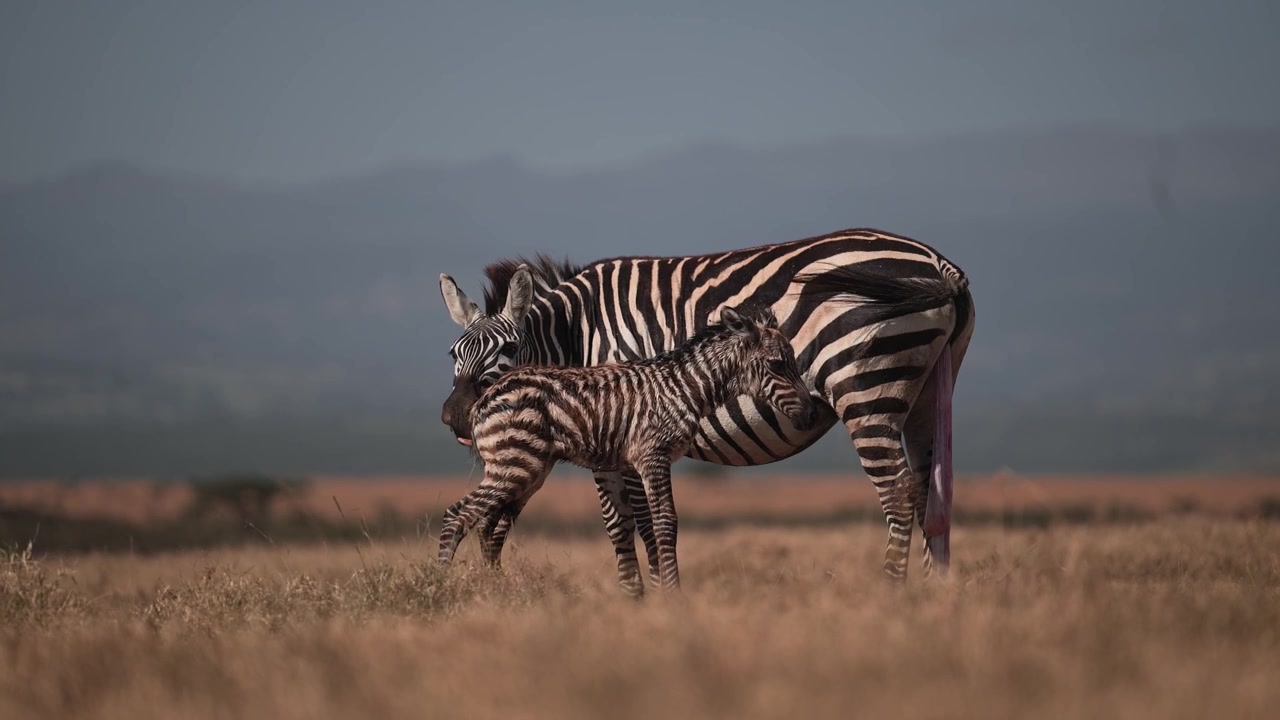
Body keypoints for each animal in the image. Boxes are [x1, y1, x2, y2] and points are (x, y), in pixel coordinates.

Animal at [437, 304, 818, 597]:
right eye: (777, 364)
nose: (810, 415)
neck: (683, 387)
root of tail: (484, 399)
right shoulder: (652, 456)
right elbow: (665, 522)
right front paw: (673, 595)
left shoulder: (637, 462)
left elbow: (648, 525)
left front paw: (659, 591)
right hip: (514, 465)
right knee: (458, 515)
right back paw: (440, 586)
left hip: (527, 469)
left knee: (488, 526)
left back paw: (496, 590)